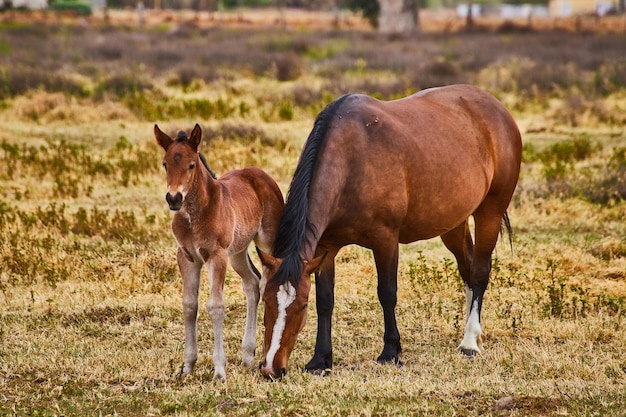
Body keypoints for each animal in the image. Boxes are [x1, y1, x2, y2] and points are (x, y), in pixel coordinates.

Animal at [154, 122, 282, 380]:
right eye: (165, 164)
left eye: (191, 165)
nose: (173, 198)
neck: (195, 216)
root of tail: (262, 175)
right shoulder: (187, 257)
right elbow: (189, 306)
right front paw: (187, 367)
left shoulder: (216, 255)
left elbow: (215, 306)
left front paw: (220, 371)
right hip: (238, 252)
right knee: (252, 284)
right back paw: (247, 355)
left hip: (264, 243)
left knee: (267, 282)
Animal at [258, 84, 520, 376]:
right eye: (265, 301)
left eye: (301, 306)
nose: (271, 368)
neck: (352, 159)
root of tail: (497, 109)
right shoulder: (325, 248)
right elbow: (325, 300)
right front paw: (320, 359)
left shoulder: (385, 240)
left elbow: (387, 293)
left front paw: (391, 351)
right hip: (453, 223)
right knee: (468, 269)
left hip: (489, 213)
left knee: (480, 272)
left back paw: (470, 341)